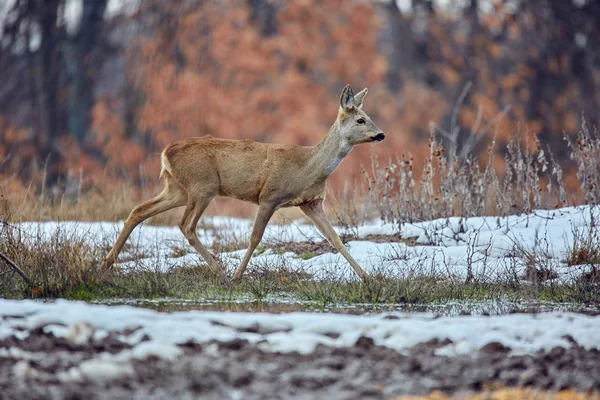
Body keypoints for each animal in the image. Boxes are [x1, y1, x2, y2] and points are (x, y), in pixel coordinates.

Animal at [101, 84, 384, 280]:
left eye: (369, 117)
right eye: (360, 119)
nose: (381, 134)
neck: (308, 167)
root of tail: (164, 152)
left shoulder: (311, 203)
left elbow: (334, 238)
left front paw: (368, 278)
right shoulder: (270, 196)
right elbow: (255, 238)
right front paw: (239, 276)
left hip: (178, 188)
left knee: (140, 210)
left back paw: (105, 264)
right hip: (202, 186)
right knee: (186, 225)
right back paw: (220, 271)